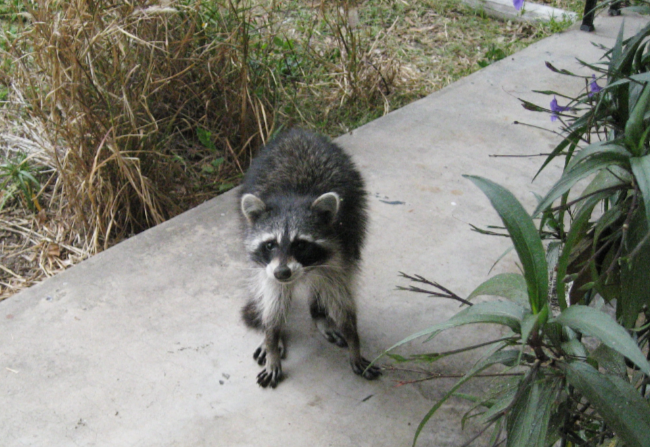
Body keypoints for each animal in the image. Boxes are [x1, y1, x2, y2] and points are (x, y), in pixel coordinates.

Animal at [238, 128, 380, 386]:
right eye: (270, 244)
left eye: (301, 245)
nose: (283, 272)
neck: (293, 197)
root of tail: (296, 132)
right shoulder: (268, 268)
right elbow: (273, 300)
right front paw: (272, 339)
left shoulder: (342, 248)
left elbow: (341, 298)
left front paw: (354, 342)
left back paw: (319, 313)